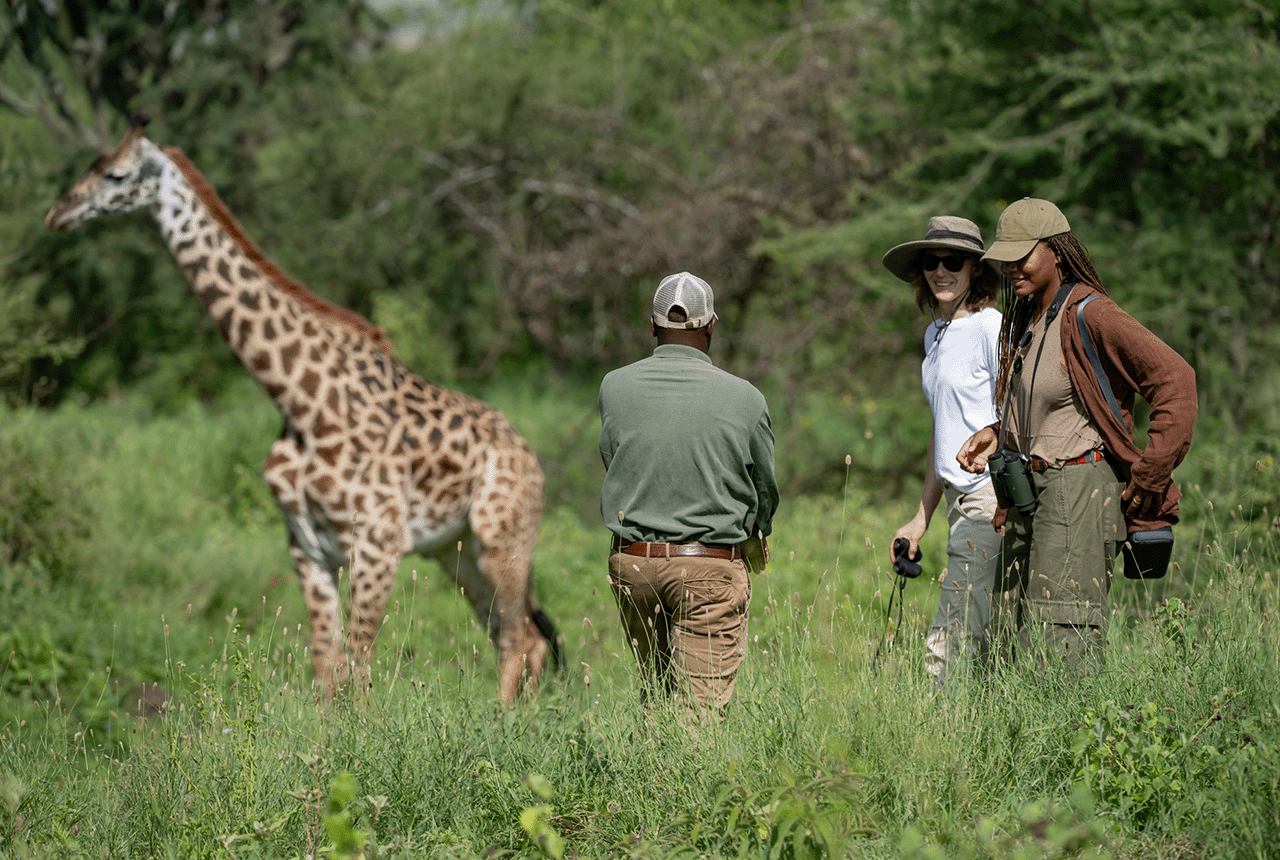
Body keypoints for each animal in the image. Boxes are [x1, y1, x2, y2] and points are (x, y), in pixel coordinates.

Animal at [45, 121, 560, 702]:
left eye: (116, 174)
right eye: (90, 165)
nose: (58, 213)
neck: (300, 403)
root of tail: (530, 456)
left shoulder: (376, 545)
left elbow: (357, 671)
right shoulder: (308, 547)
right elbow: (324, 671)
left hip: (503, 539)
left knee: (519, 636)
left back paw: (507, 717)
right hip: (458, 552)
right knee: (518, 636)